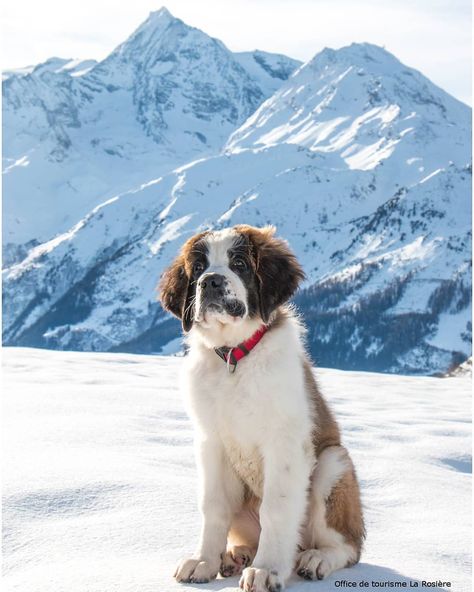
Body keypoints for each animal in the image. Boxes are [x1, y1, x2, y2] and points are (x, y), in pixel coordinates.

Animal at [159, 224, 362, 588]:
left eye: (239, 264)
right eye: (198, 268)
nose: (210, 281)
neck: (235, 356)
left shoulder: (285, 444)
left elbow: (276, 508)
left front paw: (267, 570)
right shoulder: (211, 443)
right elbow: (213, 505)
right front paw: (204, 561)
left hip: (333, 463)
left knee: (347, 546)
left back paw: (316, 558)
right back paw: (235, 556)